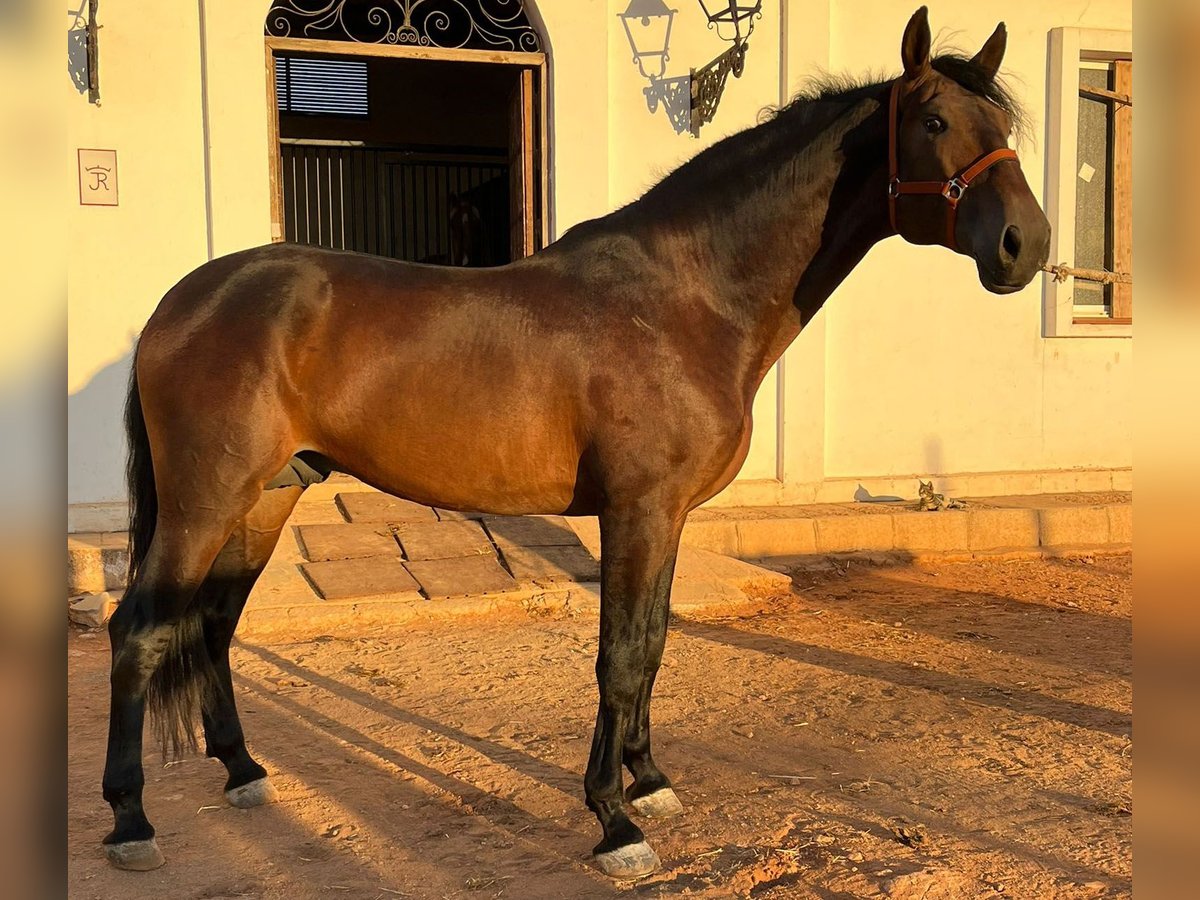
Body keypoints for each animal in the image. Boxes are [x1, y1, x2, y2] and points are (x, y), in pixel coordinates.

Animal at [105, 7, 1051, 883]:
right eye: (934, 121)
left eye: (1002, 125)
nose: (1027, 245)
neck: (687, 300)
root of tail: (178, 304)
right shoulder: (636, 511)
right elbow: (621, 658)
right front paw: (614, 822)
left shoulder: (668, 516)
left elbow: (657, 644)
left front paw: (649, 782)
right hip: (203, 502)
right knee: (139, 632)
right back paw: (131, 823)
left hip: (268, 497)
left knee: (213, 626)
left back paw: (243, 772)